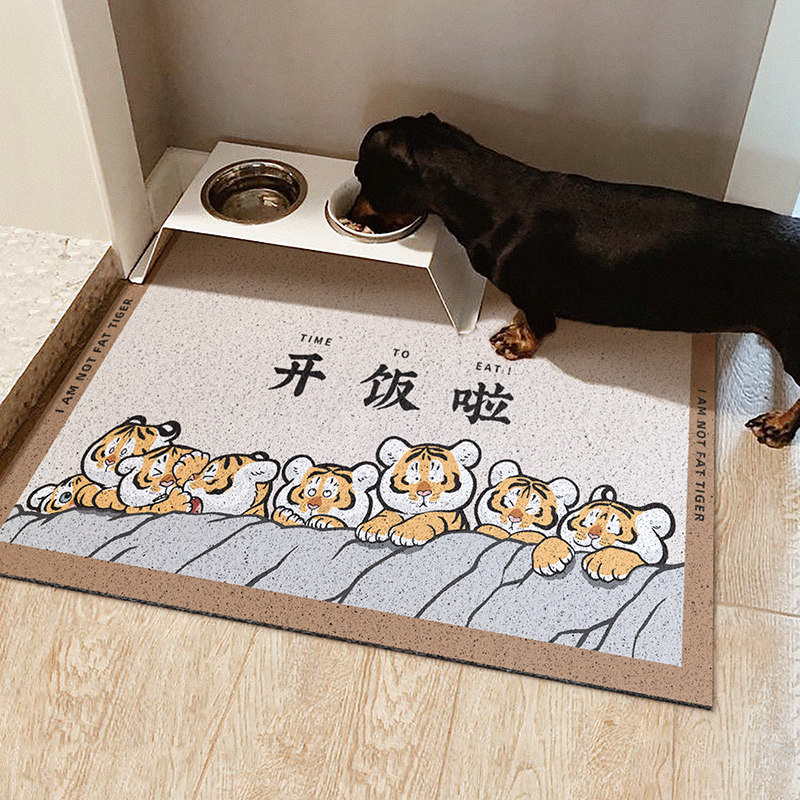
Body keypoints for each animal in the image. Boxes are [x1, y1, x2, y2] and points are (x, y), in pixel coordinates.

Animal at [351, 113, 800, 448]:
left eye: (360, 174)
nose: (355, 217)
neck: (492, 199)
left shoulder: (533, 297)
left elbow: (537, 326)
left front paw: (517, 342)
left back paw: (779, 425)